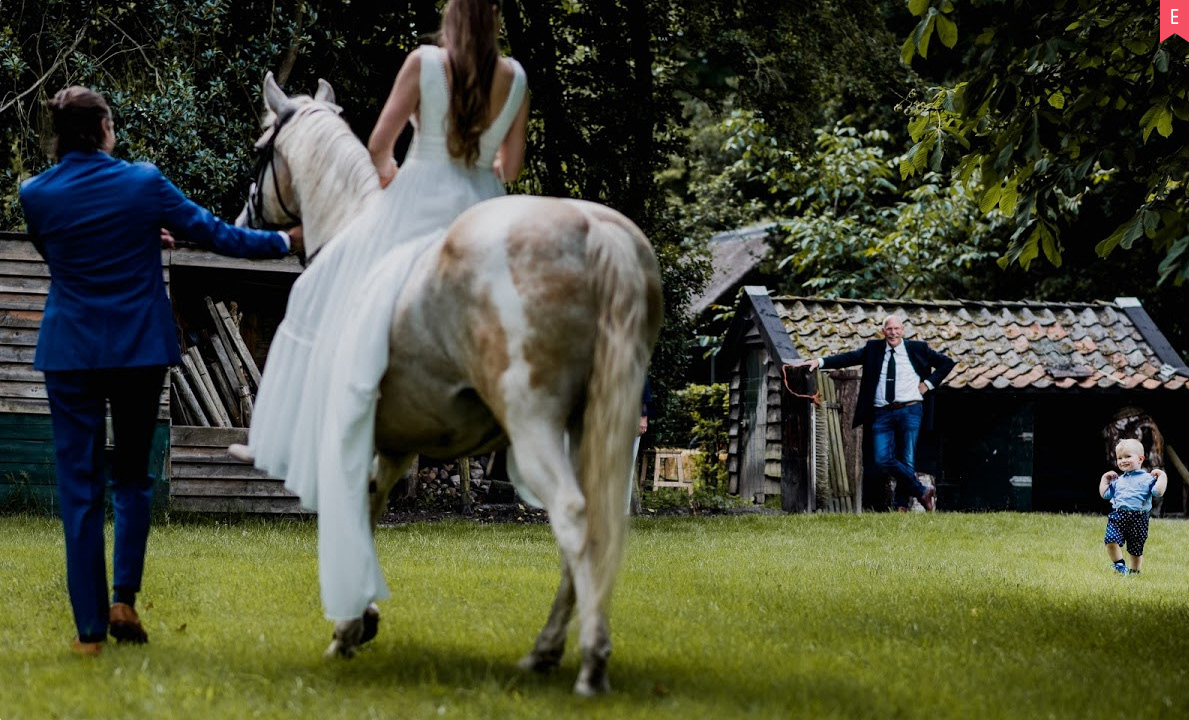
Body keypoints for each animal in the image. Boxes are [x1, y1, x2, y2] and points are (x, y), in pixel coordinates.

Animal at [238, 73, 663, 696]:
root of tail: (594, 230)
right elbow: (371, 507)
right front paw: (360, 619)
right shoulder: (392, 450)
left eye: (260, 147)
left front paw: (348, 626)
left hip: (536, 427)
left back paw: (588, 660)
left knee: (573, 517)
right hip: (588, 427)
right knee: (593, 530)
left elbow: (353, 515)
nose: (244, 220)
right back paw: (544, 651)